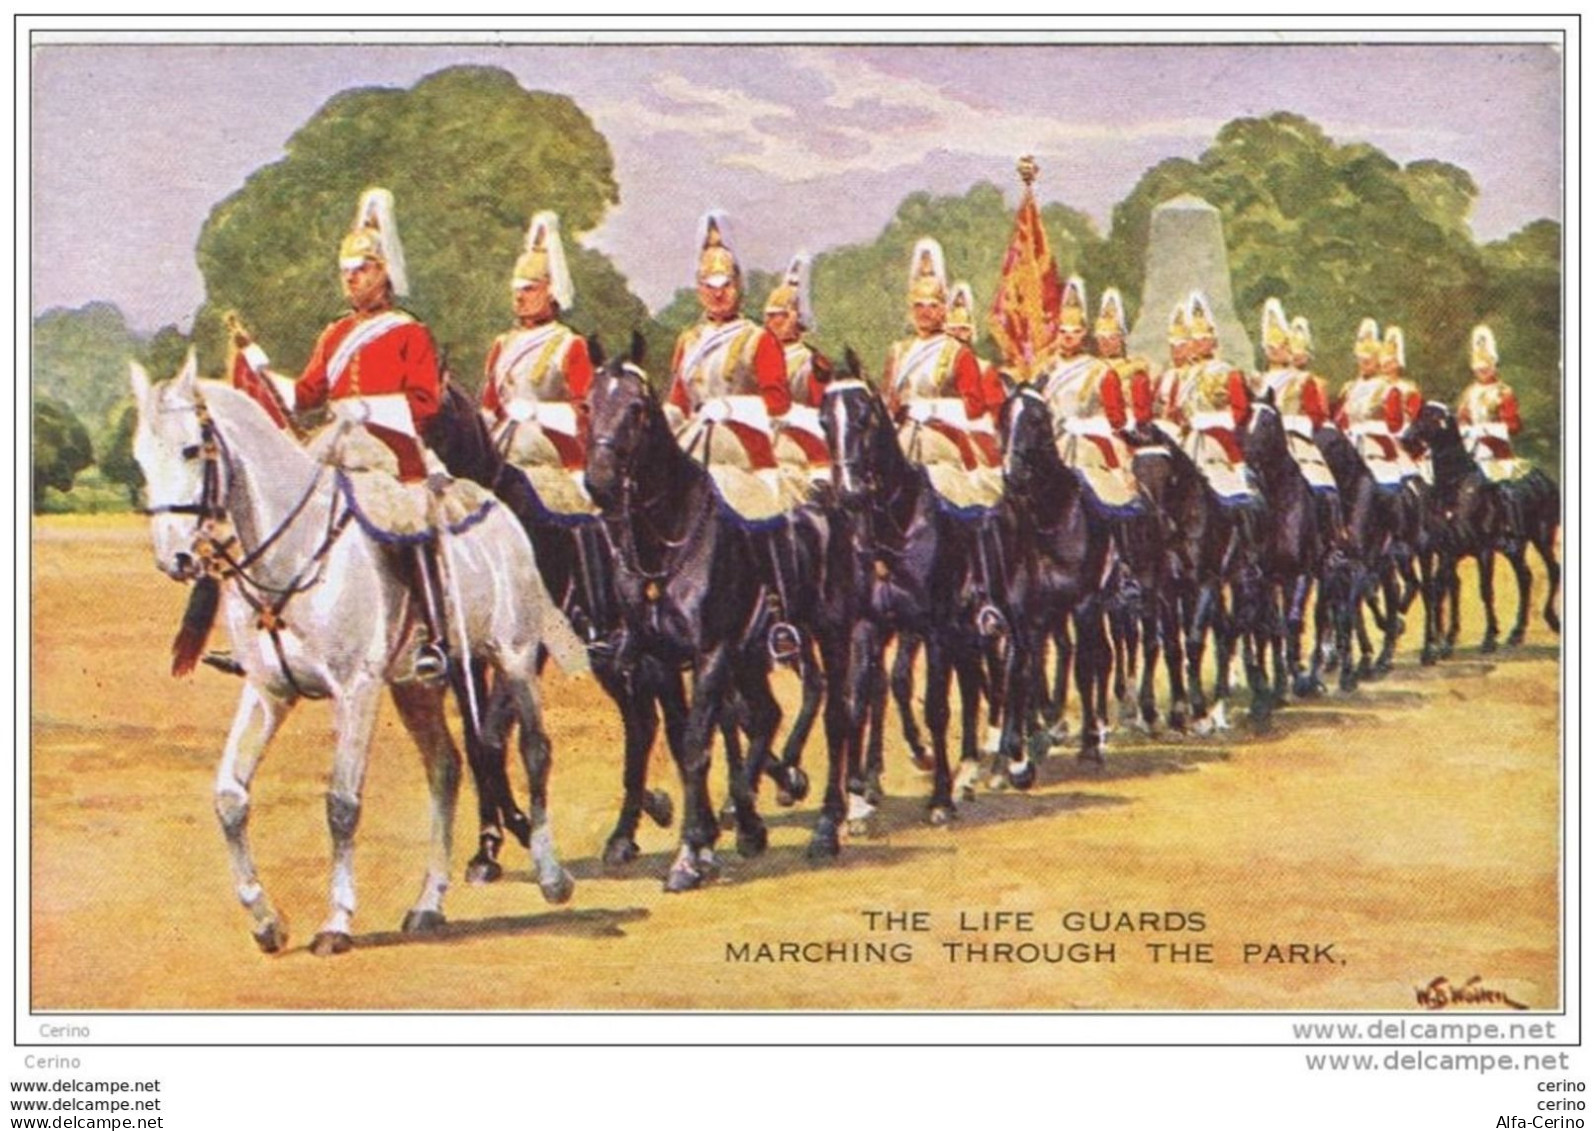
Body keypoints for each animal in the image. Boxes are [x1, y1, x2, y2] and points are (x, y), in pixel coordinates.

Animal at [130, 355, 590, 950]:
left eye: (191, 449)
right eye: (140, 456)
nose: (176, 558)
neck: (292, 551)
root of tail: (497, 506)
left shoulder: (356, 690)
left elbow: (342, 805)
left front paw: (336, 920)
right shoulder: (268, 691)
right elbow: (230, 796)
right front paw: (265, 919)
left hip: (513, 657)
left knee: (534, 750)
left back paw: (552, 877)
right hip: (417, 686)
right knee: (445, 769)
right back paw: (428, 903)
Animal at [1403, 403, 1563, 654]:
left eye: (1428, 417)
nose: (1406, 440)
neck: (1455, 487)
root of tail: (1541, 476)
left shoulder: (1483, 551)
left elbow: (1485, 590)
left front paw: (1489, 638)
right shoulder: (1449, 552)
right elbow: (1448, 589)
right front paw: (1447, 640)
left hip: (1542, 536)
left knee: (1553, 570)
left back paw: (1551, 620)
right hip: (1514, 548)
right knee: (1525, 577)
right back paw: (1517, 632)